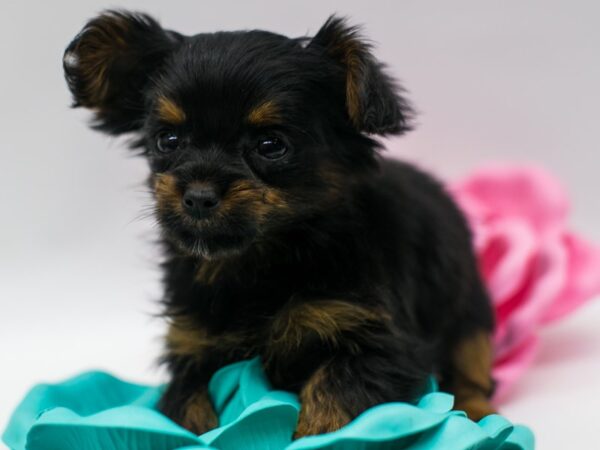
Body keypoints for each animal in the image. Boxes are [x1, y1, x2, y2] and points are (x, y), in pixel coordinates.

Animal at [64, 10, 496, 438]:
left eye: (271, 146)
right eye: (167, 140)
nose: (198, 195)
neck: (261, 262)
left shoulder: (381, 343)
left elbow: (332, 396)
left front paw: (313, 435)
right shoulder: (191, 342)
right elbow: (185, 405)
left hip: (469, 310)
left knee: (472, 368)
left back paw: (476, 415)